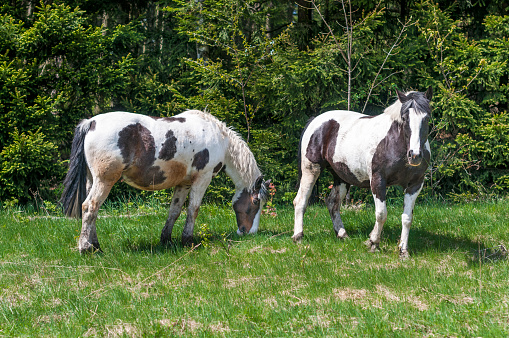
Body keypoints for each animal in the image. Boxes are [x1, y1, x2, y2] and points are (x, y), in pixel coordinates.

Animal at [60, 109, 270, 252]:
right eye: (256, 202)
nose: (249, 232)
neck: (219, 138)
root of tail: (91, 122)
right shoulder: (202, 178)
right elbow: (193, 210)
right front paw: (188, 240)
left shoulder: (184, 183)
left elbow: (174, 211)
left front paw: (167, 240)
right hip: (105, 180)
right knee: (90, 206)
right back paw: (87, 249)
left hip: (92, 180)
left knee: (92, 211)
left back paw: (95, 245)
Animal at [292, 86, 430, 256]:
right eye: (404, 118)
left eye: (427, 118)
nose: (415, 155)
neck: (394, 142)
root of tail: (315, 121)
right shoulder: (378, 181)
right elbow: (381, 214)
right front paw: (373, 243)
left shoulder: (415, 184)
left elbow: (407, 218)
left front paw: (403, 251)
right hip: (311, 170)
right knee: (300, 201)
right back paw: (298, 236)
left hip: (341, 177)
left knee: (332, 203)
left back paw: (342, 234)